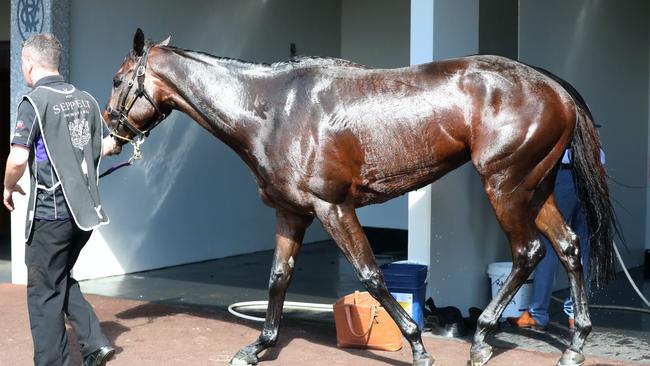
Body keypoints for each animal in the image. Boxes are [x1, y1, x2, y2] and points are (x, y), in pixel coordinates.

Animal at [101, 29, 612, 366]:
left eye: (117, 79)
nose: (108, 134)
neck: (275, 109)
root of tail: (553, 86)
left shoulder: (333, 207)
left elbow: (371, 274)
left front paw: (418, 345)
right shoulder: (291, 213)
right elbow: (278, 277)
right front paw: (259, 345)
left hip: (505, 185)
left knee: (528, 252)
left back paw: (483, 338)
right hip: (536, 188)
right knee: (567, 247)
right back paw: (576, 344)